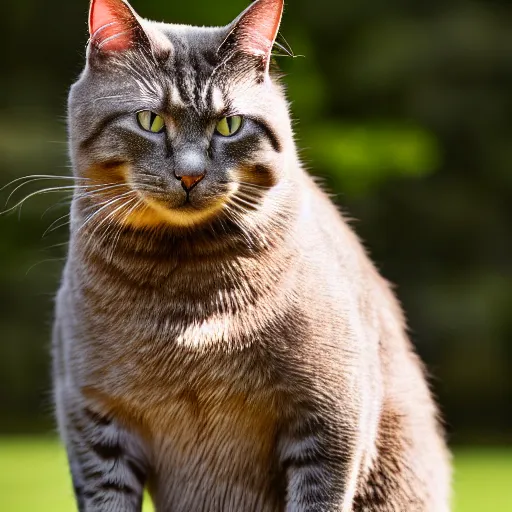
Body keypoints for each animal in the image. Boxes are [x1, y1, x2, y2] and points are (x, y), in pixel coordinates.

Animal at [53, 0, 452, 510]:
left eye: (229, 124)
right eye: (150, 121)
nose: (190, 174)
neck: (187, 288)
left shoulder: (331, 415)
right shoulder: (93, 420)